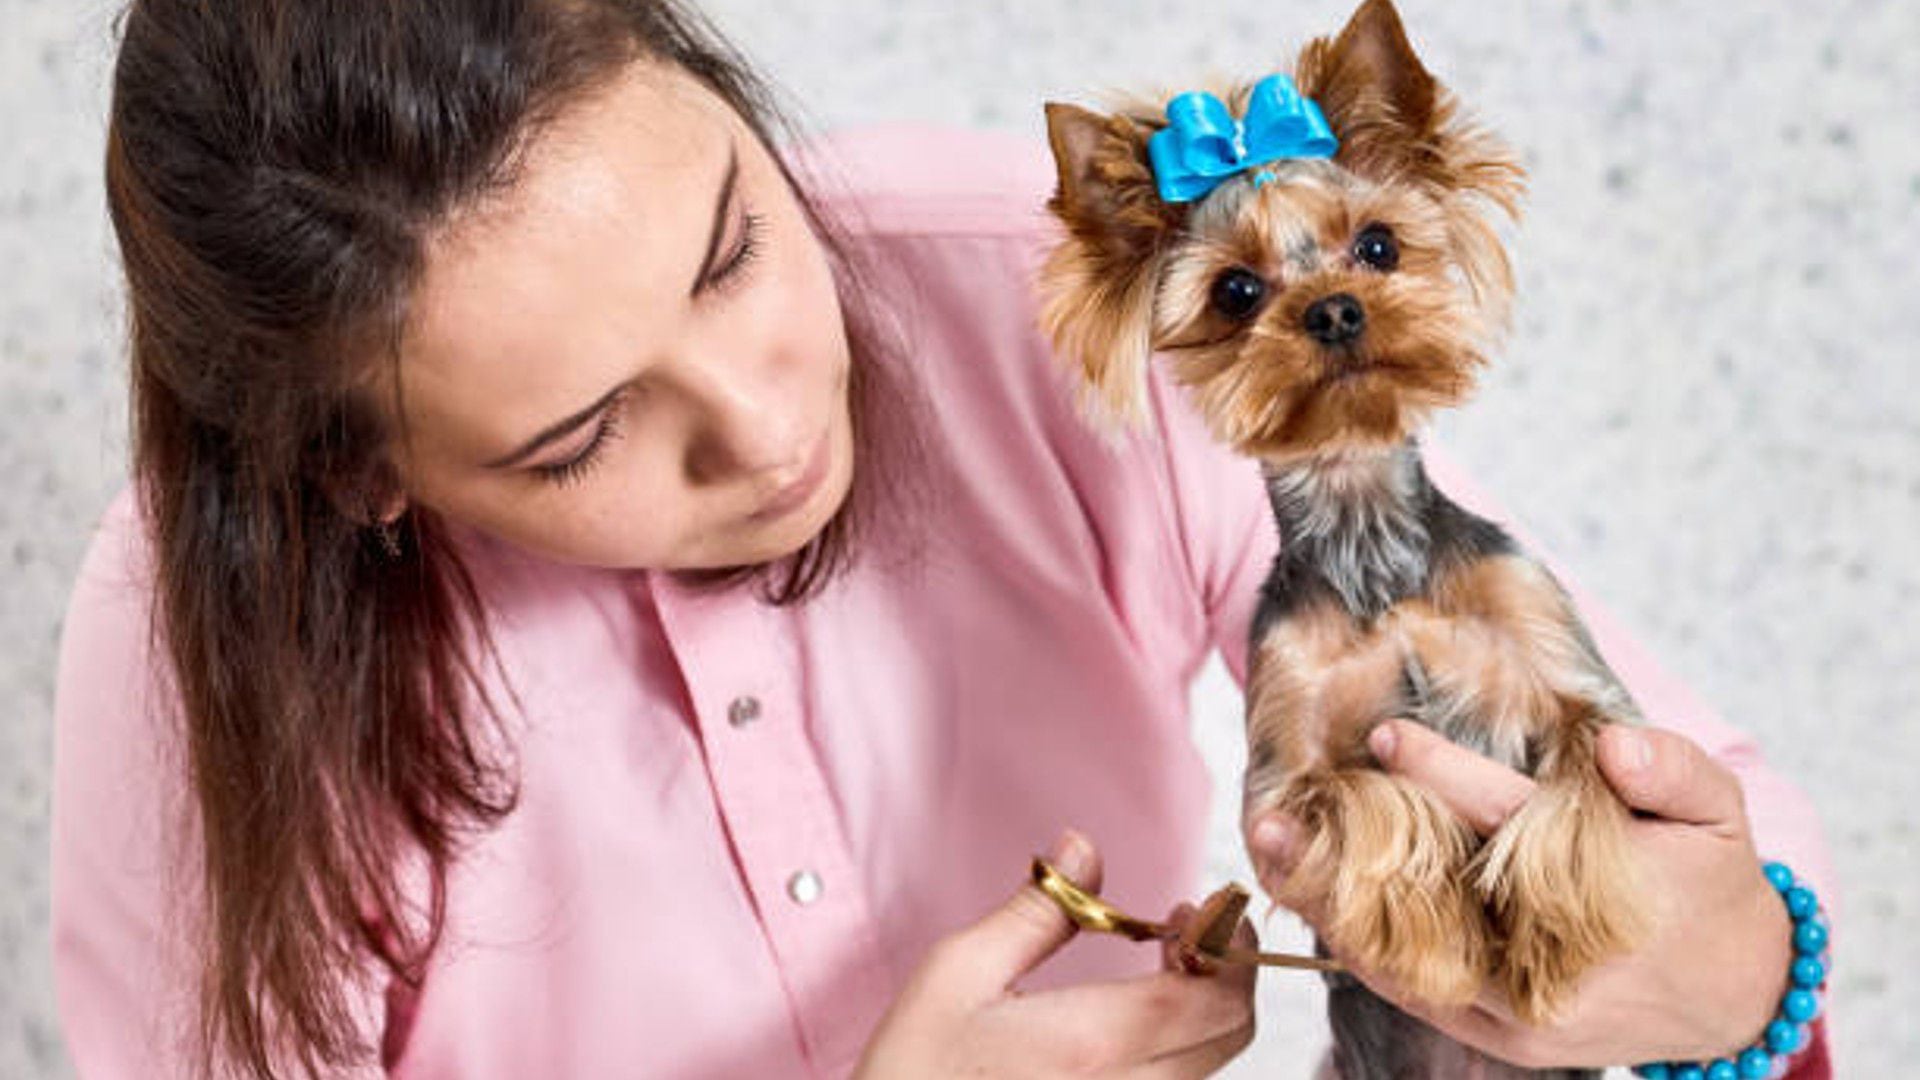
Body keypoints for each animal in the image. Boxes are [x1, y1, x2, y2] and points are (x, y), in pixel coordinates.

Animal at [1036, 2, 1651, 1068]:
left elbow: (1577, 790)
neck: (1371, 546)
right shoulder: (1284, 783)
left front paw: (1553, 937)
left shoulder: (1592, 700)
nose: (1331, 309)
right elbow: (1370, 802)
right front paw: (1439, 944)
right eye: (1235, 292)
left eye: (1377, 246)